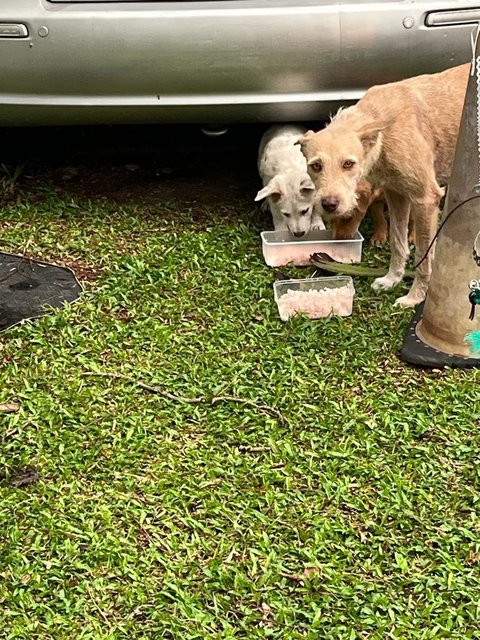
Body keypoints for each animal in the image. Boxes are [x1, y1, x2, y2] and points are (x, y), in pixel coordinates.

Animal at [296, 63, 468, 308]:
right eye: (316, 166)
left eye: (349, 164)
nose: (329, 204)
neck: (382, 127)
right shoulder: (396, 195)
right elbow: (397, 242)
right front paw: (392, 280)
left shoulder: (425, 199)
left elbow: (423, 257)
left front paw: (416, 297)